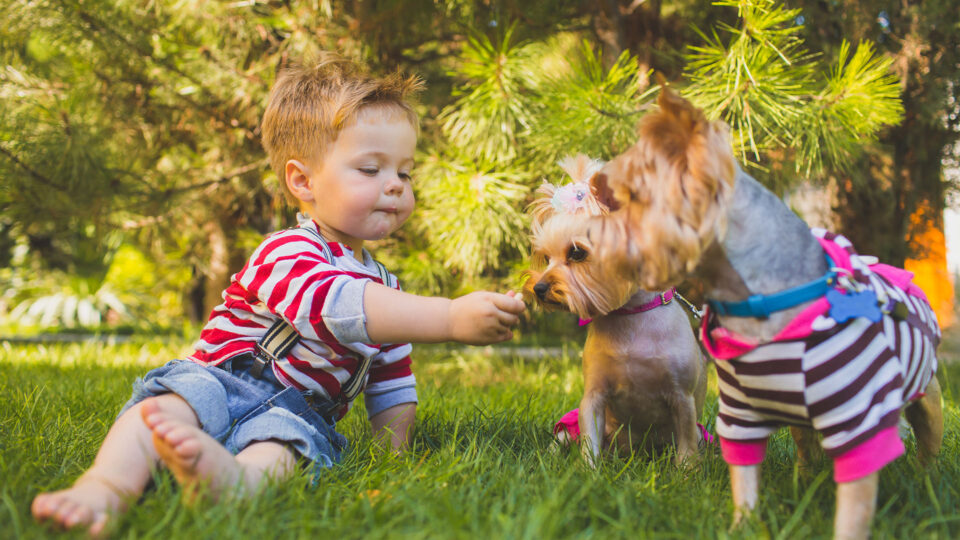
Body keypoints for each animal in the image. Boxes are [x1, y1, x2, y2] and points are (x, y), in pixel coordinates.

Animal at [592, 88, 944, 540]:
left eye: (630, 197)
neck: (752, 305)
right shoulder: (740, 417)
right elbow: (745, 484)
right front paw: (743, 525)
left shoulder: (857, 422)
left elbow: (854, 511)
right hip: (800, 424)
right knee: (806, 452)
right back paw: (804, 482)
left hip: (928, 401)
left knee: (929, 448)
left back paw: (928, 486)